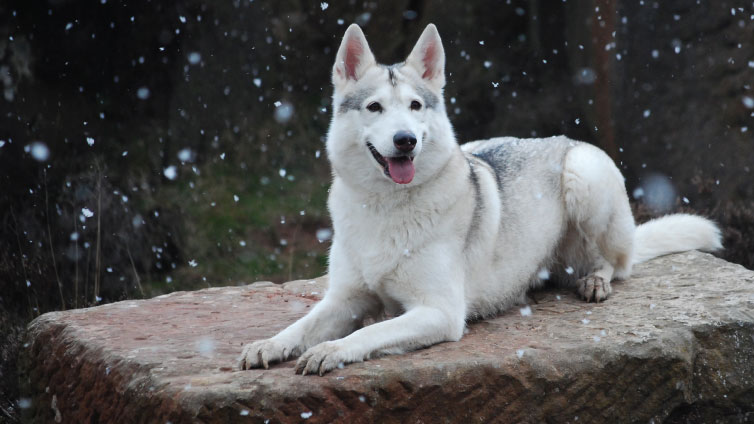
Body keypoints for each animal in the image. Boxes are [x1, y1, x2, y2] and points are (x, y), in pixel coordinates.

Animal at [238, 24, 722, 375]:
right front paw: (270, 344)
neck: (387, 207)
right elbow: (302, 324)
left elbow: (362, 335)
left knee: (617, 263)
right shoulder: (343, 299)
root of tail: (561, 137)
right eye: (374, 108)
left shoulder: (439, 312)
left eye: (415, 106)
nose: (406, 140)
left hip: (585, 178)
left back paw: (595, 280)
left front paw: (331, 350)